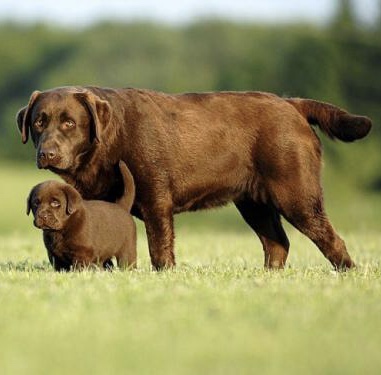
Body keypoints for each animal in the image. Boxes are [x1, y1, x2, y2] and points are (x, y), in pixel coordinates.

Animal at [16, 87, 370, 272]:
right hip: (253, 204)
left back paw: (347, 274)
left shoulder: (156, 200)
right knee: (277, 243)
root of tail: (291, 103)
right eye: (38, 122)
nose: (47, 153)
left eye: (69, 123)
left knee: (331, 240)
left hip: (296, 196)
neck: (111, 141)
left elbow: (160, 249)